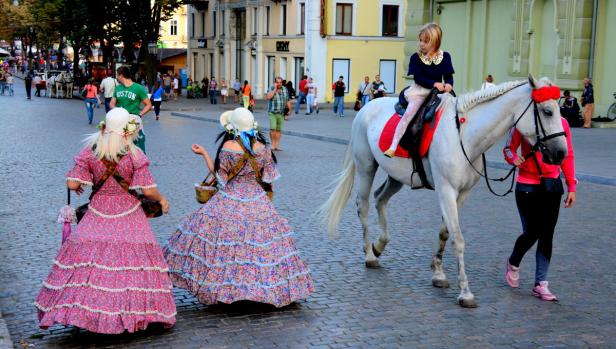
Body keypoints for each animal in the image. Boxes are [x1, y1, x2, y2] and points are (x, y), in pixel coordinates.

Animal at [322, 75, 568, 306]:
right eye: (547, 111)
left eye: (560, 110)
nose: (561, 153)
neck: (465, 136)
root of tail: (366, 107)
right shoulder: (446, 190)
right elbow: (458, 239)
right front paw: (465, 292)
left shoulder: (462, 194)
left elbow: (444, 232)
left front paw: (438, 273)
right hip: (366, 167)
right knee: (362, 205)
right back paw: (369, 254)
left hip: (396, 177)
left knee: (380, 199)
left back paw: (379, 245)